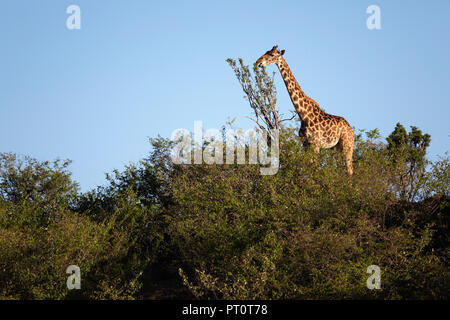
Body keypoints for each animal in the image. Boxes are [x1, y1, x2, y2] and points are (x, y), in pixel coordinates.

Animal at [255, 45, 354, 175]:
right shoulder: (305, 144)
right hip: (335, 148)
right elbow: (308, 167)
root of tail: (352, 131)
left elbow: (315, 168)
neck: (303, 114)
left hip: (347, 146)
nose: (258, 62)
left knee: (350, 170)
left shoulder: (316, 144)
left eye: (272, 54)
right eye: (266, 51)